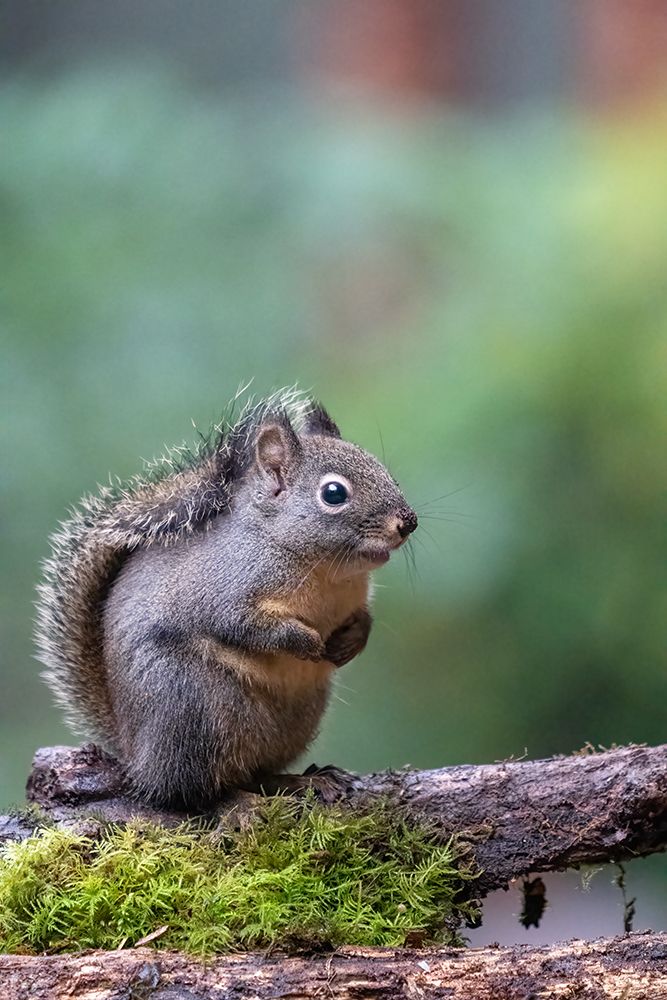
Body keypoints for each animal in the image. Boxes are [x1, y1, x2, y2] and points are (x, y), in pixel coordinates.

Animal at [35, 389, 417, 809]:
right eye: (334, 493)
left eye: (386, 472)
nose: (408, 521)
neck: (322, 569)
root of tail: (137, 757)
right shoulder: (223, 589)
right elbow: (240, 624)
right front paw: (306, 642)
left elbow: (363, 618)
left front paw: (351, 642)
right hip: (195, 706)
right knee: (192, 787)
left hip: (296, 717)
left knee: (254, 772)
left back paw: (303, 780)